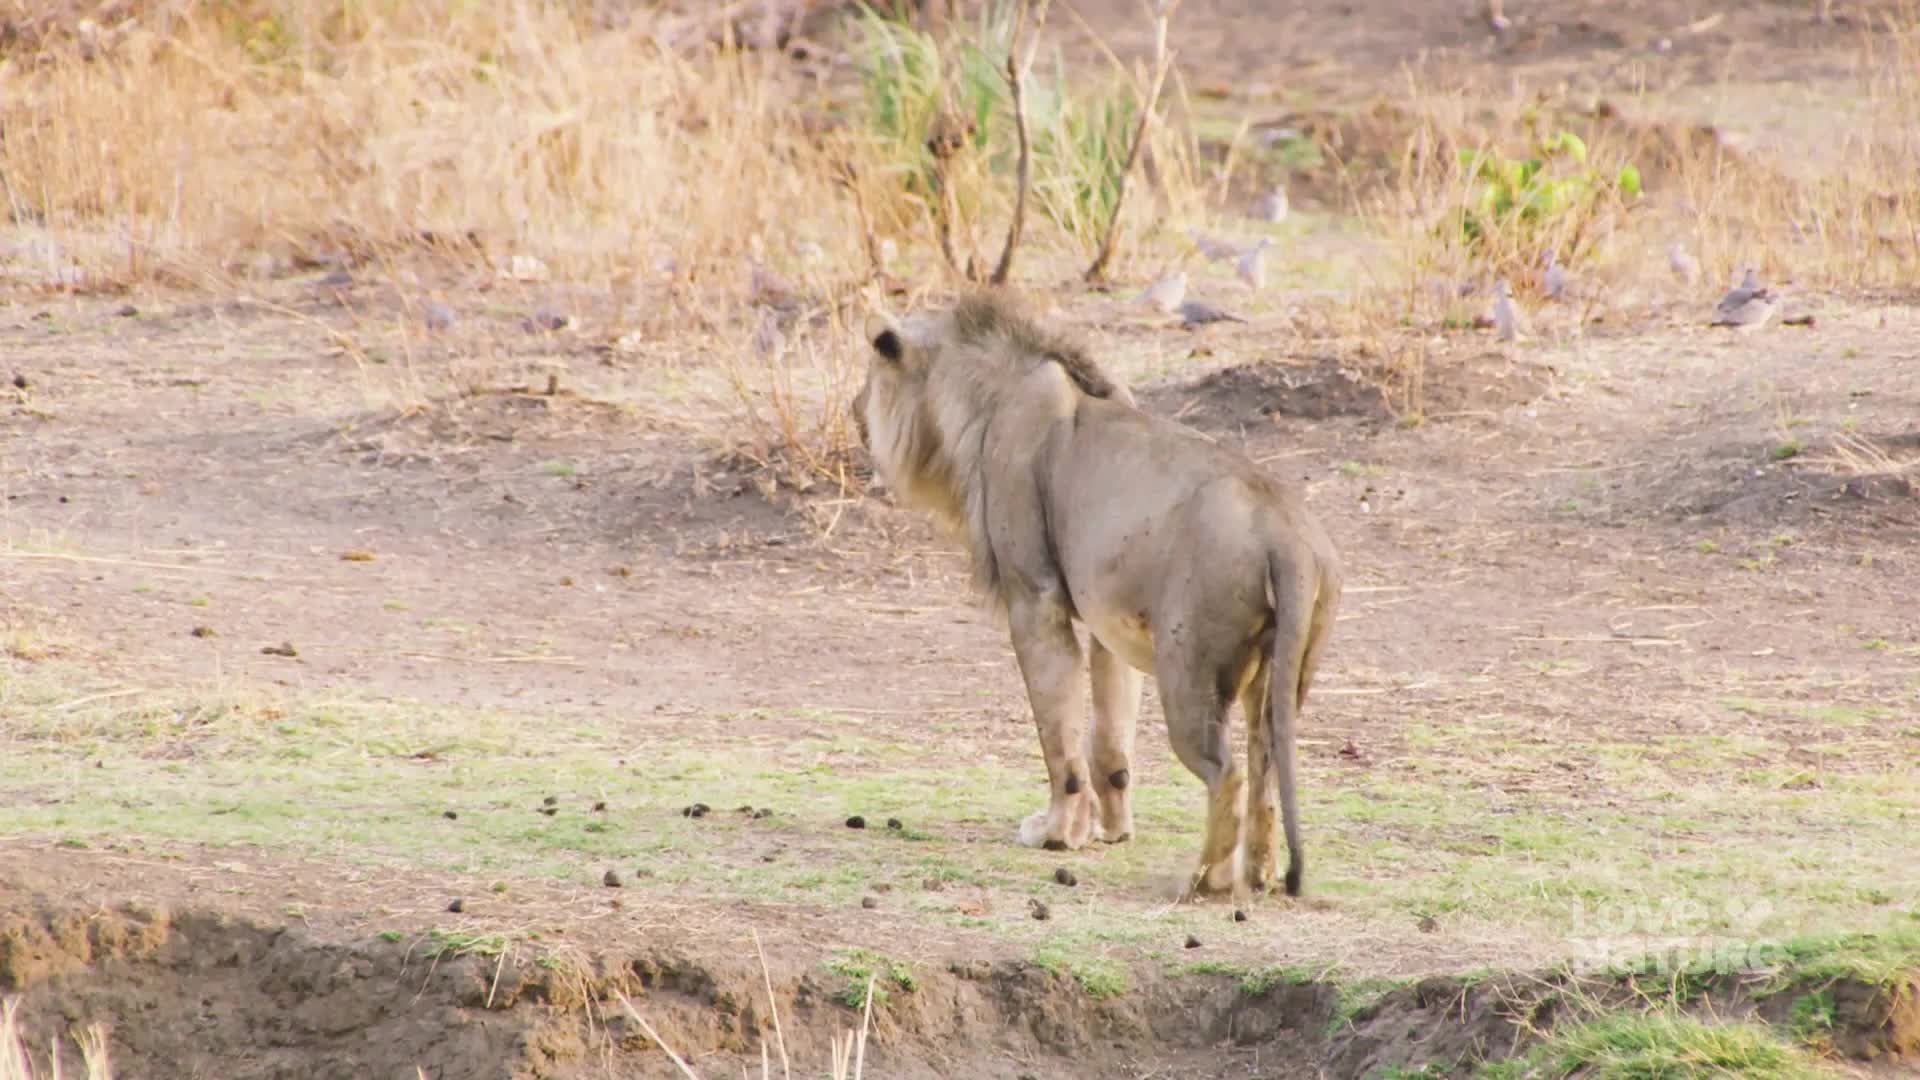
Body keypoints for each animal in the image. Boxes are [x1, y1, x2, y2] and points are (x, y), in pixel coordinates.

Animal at [853, 289, 1341, 899]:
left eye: (871, 374)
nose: (853, 412)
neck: (981, 398)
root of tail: (1286, 537)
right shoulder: (1110, 620)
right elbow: (1109, 736)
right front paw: (1110, 831)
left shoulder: (1034, 597)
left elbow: (1058, 733)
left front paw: (1056, 834)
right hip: (1281, 674)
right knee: (1265, 768)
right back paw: (1260, 874)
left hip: (1189, 670)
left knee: (1226, 773)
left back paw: (1206, 879)